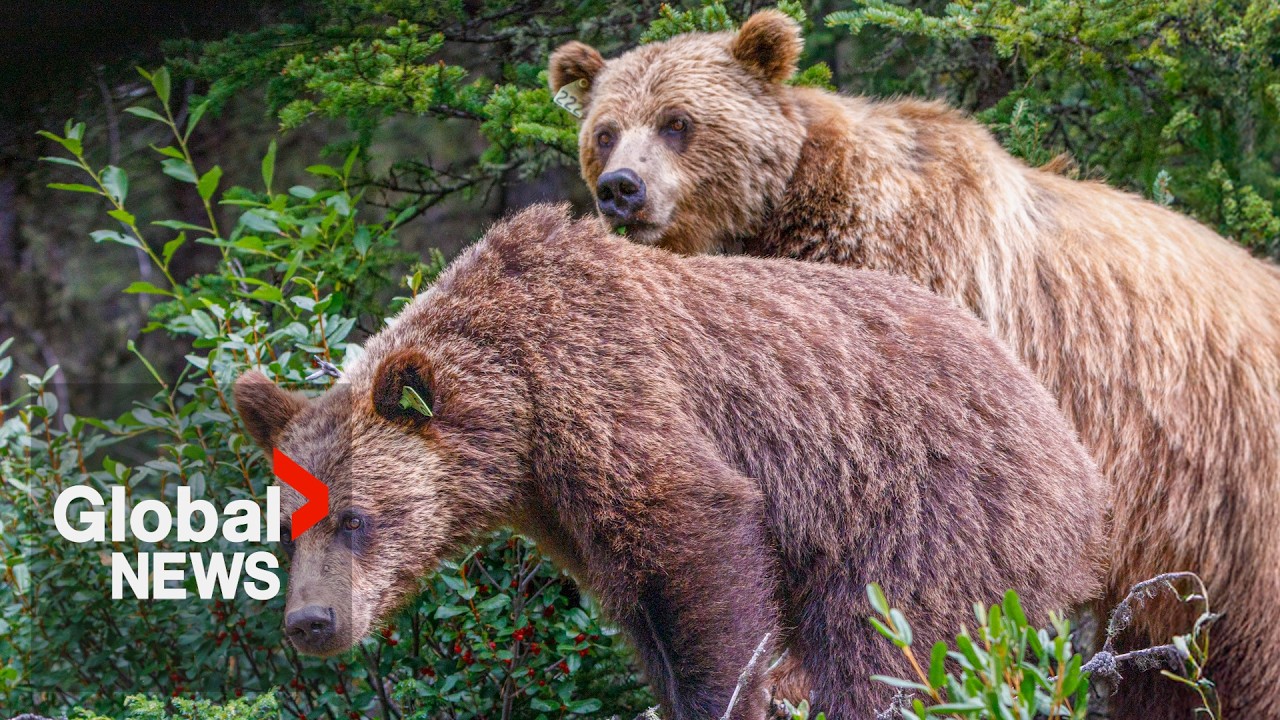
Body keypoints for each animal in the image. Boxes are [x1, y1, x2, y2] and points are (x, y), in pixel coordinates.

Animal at [234, 204, 1108, 720]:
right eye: (281, 530)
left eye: (356, 518)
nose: (312, 621)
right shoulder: (568, 513)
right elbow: (647, 613)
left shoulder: (612, 393)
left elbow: (698, 539)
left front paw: (720, 698)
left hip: (930, 506)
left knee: (890, 640)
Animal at [549, 12, 1280, 718]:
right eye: (605, 132)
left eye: (678, 122)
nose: (621, 189)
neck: (790, 224)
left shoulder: (929, 306)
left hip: (1232, 504)